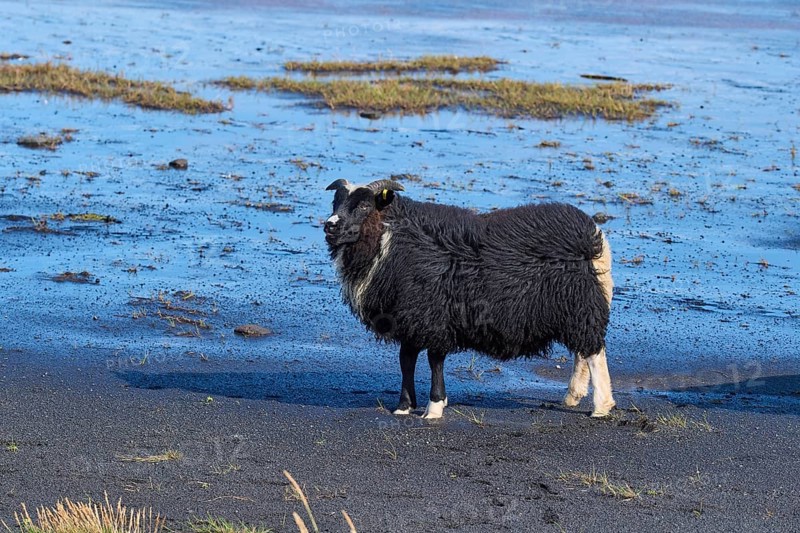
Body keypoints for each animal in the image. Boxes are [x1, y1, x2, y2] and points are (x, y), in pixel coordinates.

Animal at [324, 178, 615, 419]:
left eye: (364, 206)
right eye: (336, 202)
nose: (330, 226)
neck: (388, 240)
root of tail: (594, 237)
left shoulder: (434, 315)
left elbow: (435, 360)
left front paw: (434, 408)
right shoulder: (409, 316)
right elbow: (406, 360)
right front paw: (404, 406)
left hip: (581, 304)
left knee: (593, 353)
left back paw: (601, 406)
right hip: (575, 307)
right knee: (582, 353)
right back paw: (572, 397)